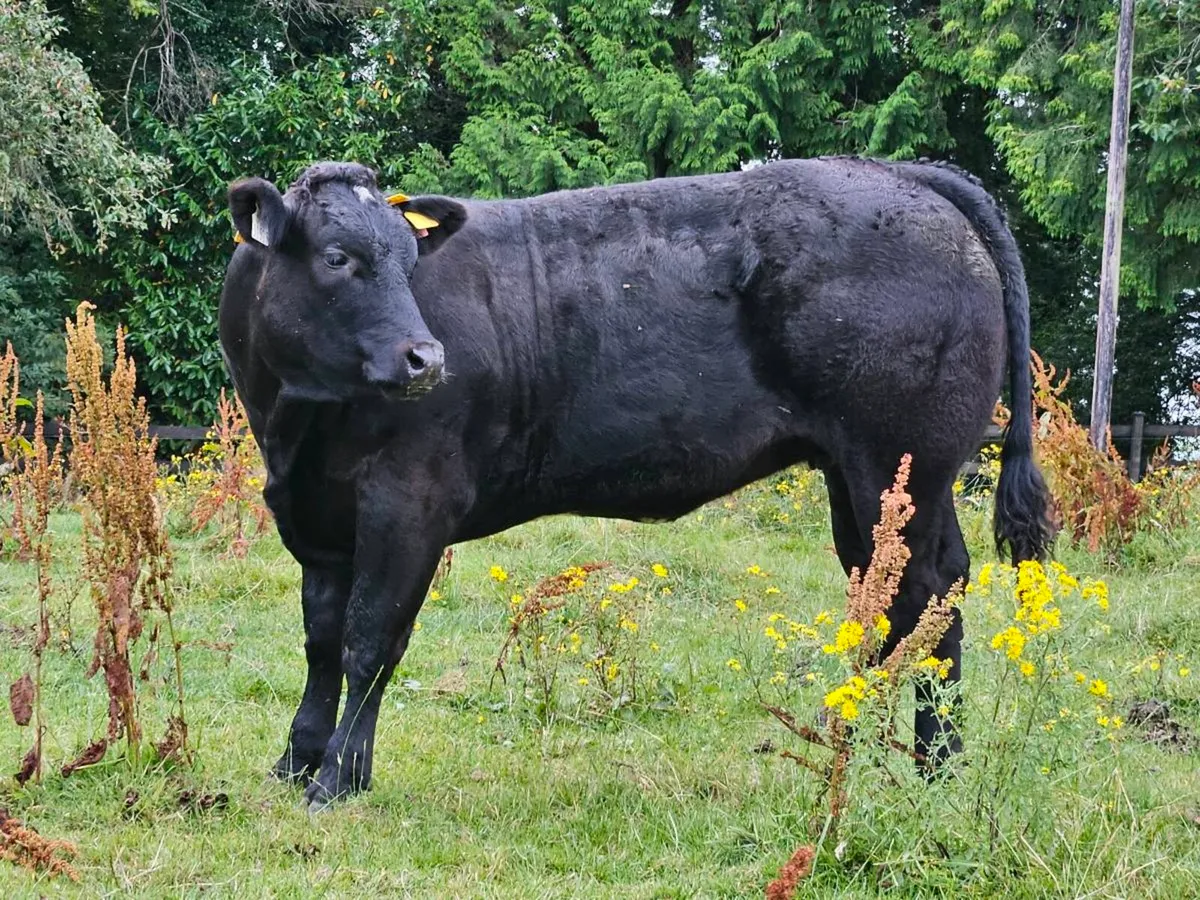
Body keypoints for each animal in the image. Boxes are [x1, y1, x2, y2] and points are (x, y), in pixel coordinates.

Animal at [219, 157, 1053, 810]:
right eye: (336, 256)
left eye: (406, 259)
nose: (426, 358)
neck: (296, 423)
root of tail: (899, 173)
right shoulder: (316, 516)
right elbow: (321, 641)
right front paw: (294, 763)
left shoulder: (410, 502)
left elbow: (370, 641)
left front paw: (338, 779)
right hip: (866, 485)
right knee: (901, 599)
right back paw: (887, 757)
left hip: (900, 466)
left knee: (930, 599)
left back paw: (933, 771)